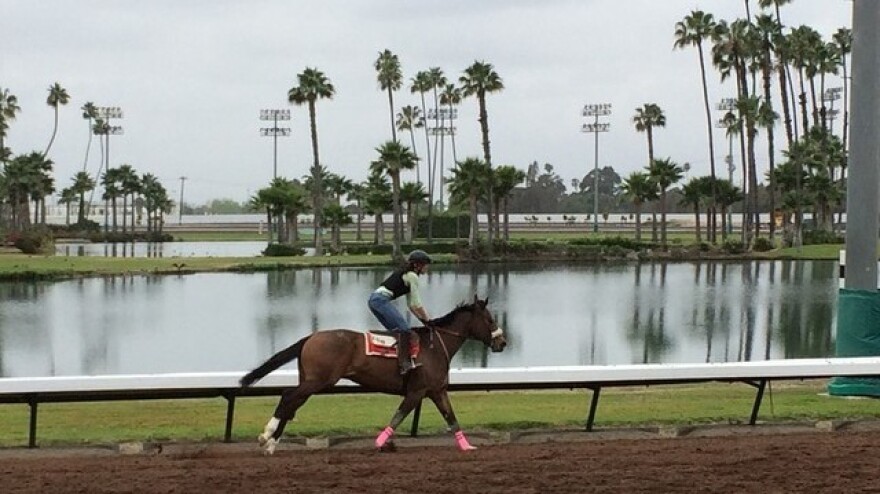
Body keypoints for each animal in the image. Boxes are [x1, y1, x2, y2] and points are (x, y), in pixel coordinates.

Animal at [241, 294, 506, 456]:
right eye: (489, 319)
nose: (502, 342)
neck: (435, 346)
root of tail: (311, 336)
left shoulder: (437, 390)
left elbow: (451, 418)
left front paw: (467, 445)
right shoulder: (417, 391)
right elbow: (399, 416)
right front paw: (380, 443)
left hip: (310, 380)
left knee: (292, 403)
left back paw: (271, 444)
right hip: (319, 380)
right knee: (287, 396)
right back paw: (266, 436)